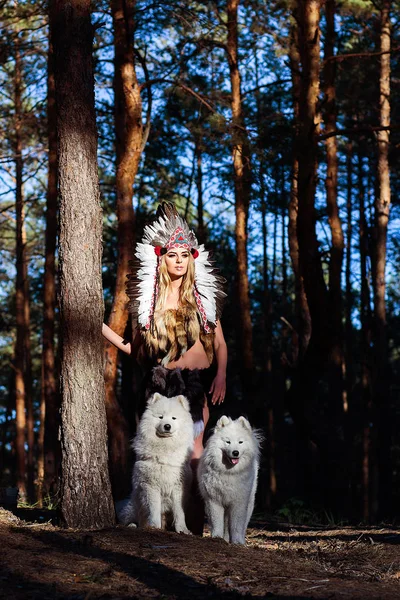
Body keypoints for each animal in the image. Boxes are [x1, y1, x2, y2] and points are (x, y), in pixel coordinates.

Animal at [117, 394, 194, 536]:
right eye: (160, 417)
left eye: (174, 418)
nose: (167, 426)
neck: (165, 448)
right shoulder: (150, 486)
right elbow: (154, 510)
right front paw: (154, 527)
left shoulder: (178, 488)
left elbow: (179, 513)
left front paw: (183, 530)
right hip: (135, 503)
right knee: (131, 518)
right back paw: (133, 525)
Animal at [197, 414, 262, 548]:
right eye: (228, 442)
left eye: (240, 442)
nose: (235, 452)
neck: (229, 473)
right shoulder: (213, 500)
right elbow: (217, 522)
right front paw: (216, 537)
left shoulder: (238, 503)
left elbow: (237, 525)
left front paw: (237, 541)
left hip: (249, 503)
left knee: (242, 524)